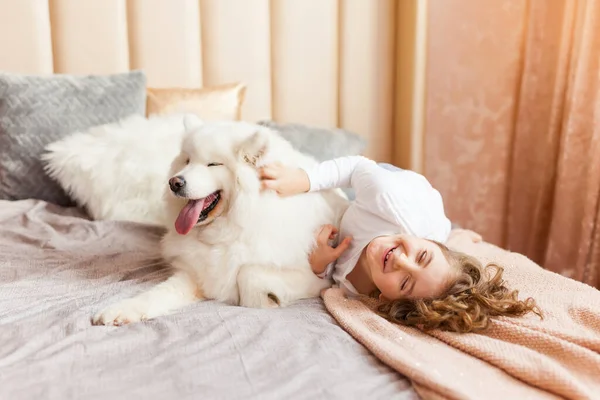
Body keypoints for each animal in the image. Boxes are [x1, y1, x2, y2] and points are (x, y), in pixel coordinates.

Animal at [91, 119, 350, 324]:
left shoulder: (317, 280)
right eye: (187, 161)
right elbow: (156, 294)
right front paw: (121, 310)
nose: (174, 182)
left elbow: (249, 273)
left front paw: (267, 300)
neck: (229, 230)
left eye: (213, 164)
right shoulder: (195, 274)